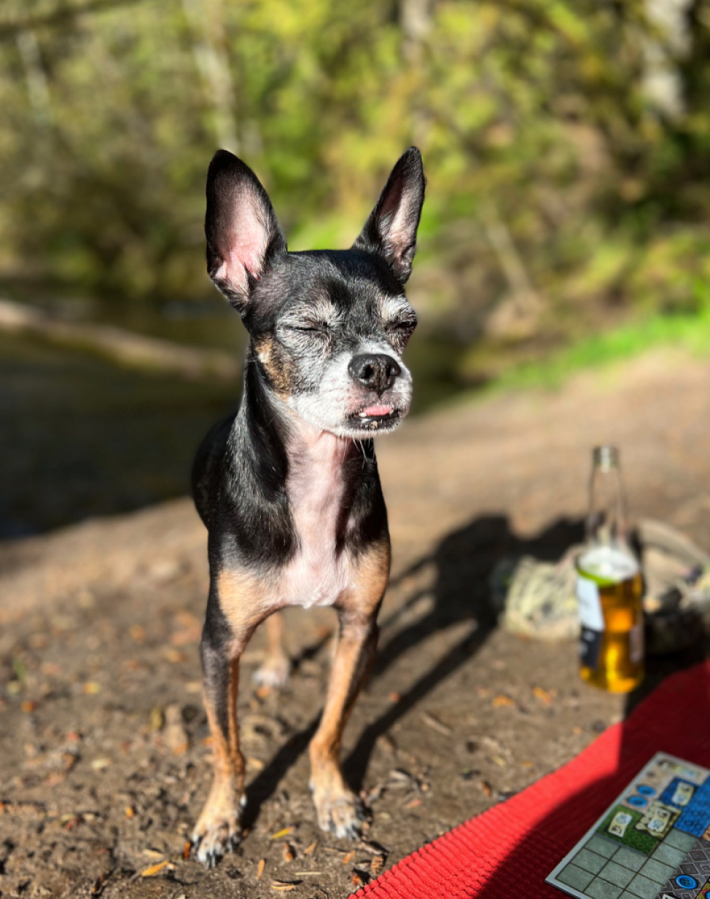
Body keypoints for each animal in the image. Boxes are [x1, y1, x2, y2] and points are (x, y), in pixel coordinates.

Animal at [189, 146, 426, 864]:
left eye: (405, 325)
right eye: (305, 327)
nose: (379, 366)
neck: (317, 476)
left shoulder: (360, 629)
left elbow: (329, 728)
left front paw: (333, 797)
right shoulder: (216, 646)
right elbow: (228, 748)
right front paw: (221, 817)